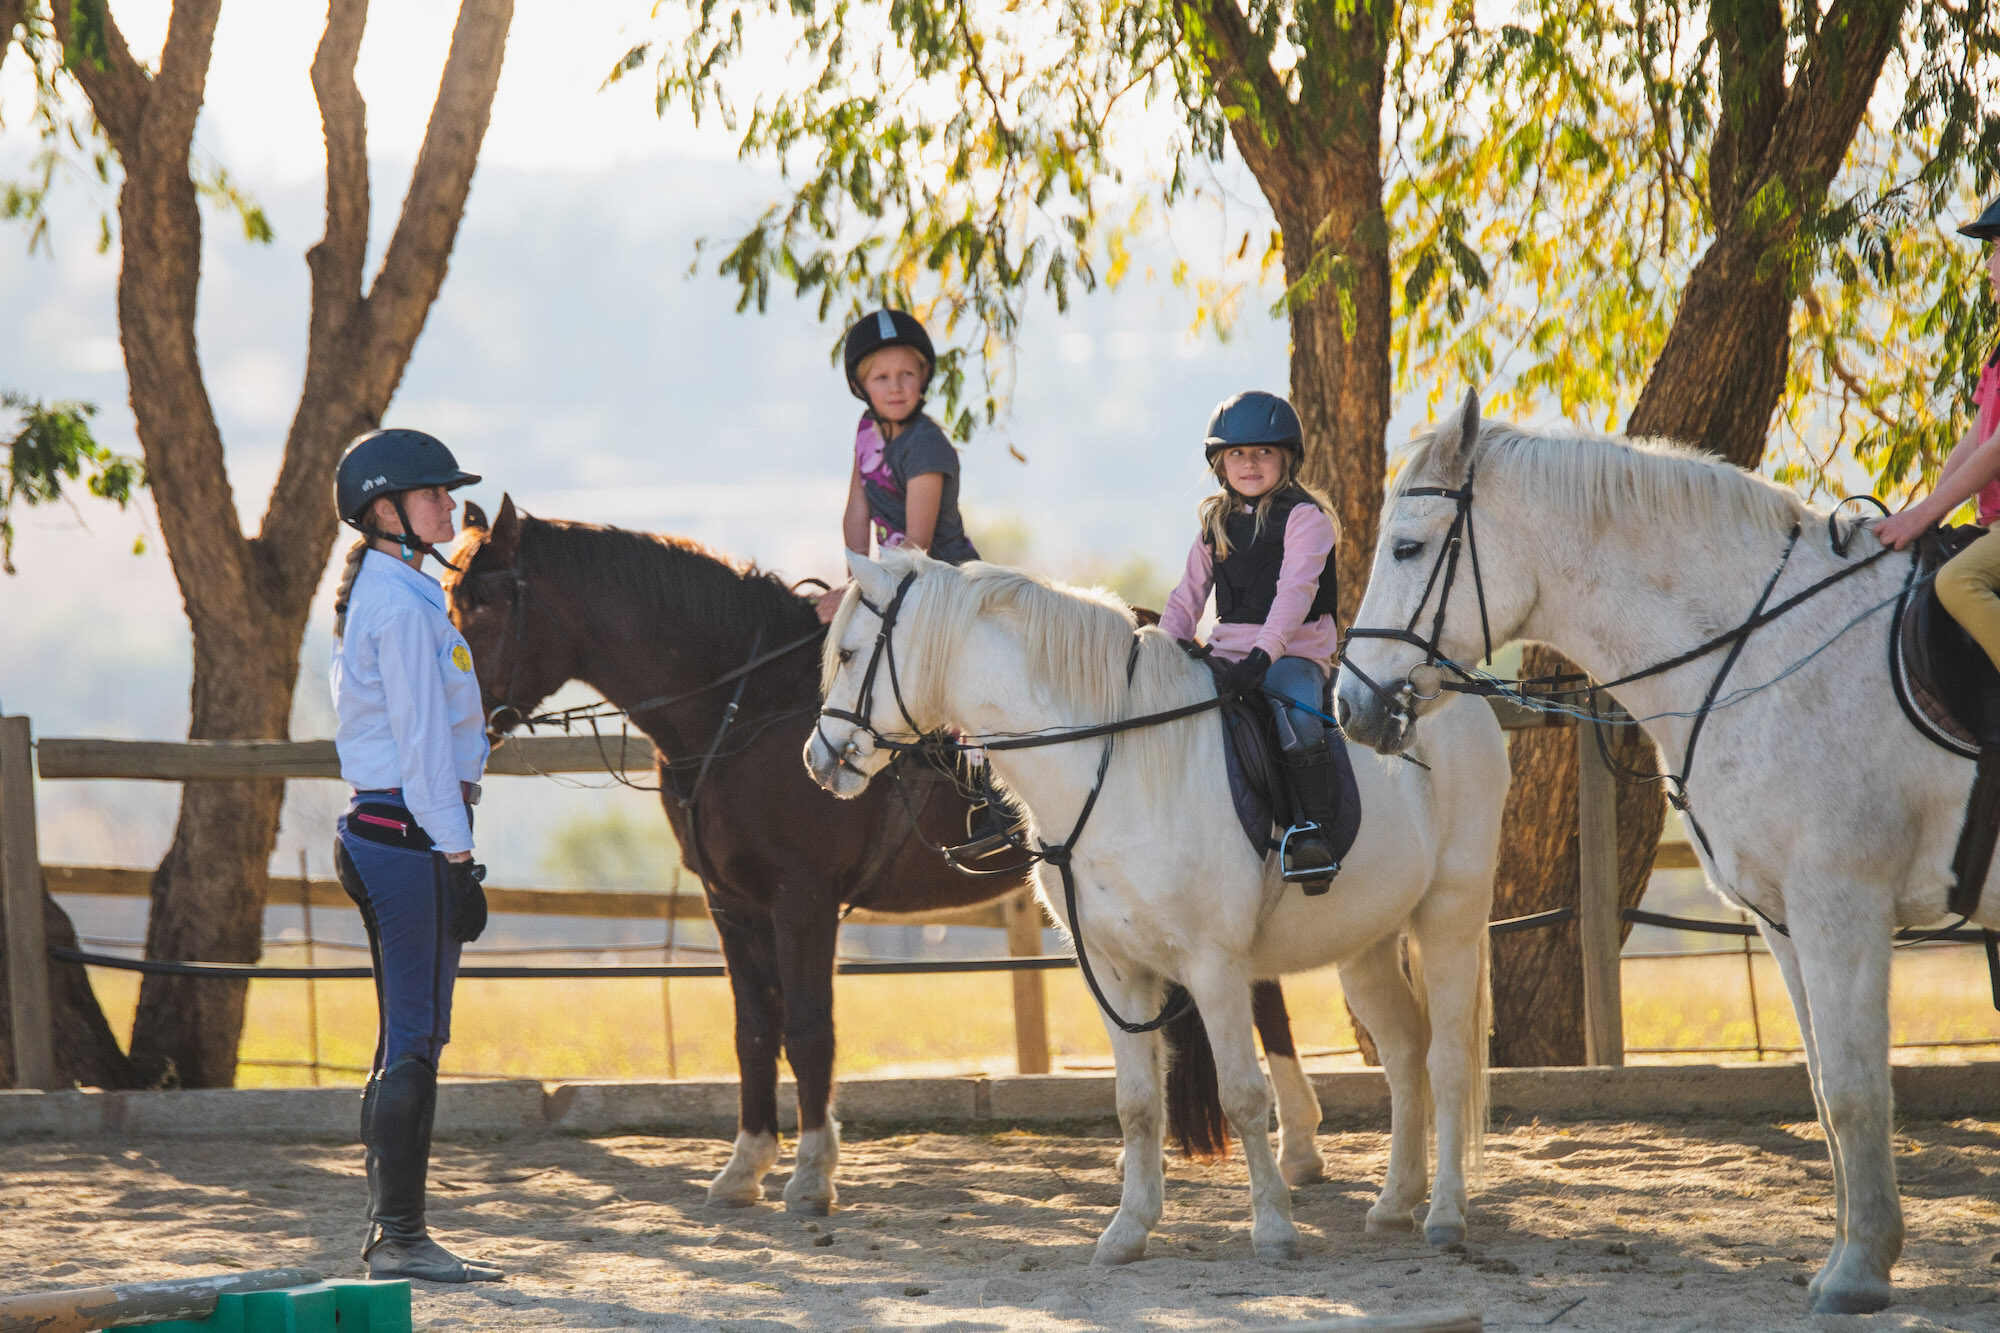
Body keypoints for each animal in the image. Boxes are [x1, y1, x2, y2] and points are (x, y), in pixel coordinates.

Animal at [441, 496, 1329, 1212]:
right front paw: (744, 1166)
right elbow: (753, 1028)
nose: (455, 720)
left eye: (479, 606)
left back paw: (1299, 1149)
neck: (740, 705)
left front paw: (810, 1174)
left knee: (1263, 999)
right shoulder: (733, 904)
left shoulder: (800, 900)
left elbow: (808, 1027)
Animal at [808, 547, 1509, 1262]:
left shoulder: (1214, 967)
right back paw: (1395, 1204)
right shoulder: (1115, 970)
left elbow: (1242, 1095)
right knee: (1405, 1052)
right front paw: (1127, 1230)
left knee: (1447, 1059)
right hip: (1366, 944)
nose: (819, 757)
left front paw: (1273, 1228)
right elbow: (1137, 1103)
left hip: (1449, 919)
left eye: (850, 653)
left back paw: (1445, 1214)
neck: (1109, 768)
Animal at [1336, 391, 2000, 1314]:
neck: (1765, 645)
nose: (1349, 704)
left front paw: (1860, 1272)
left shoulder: (1843, 906)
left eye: (1407, 547)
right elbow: (1826, 1088)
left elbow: (1858, 1088)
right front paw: (1846, 1256)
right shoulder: (1787, 924)